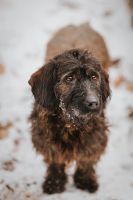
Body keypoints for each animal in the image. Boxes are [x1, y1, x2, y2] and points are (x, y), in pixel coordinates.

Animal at [28, 23, 111, 194]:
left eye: (94, 77)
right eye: (69, 78)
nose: (94, 103)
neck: (71, 124)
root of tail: (79, 24)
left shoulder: (95, 136)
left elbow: (86, 159)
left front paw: (85, 180)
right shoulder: (45, 137)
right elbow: (55, 161)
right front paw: (54, 182)